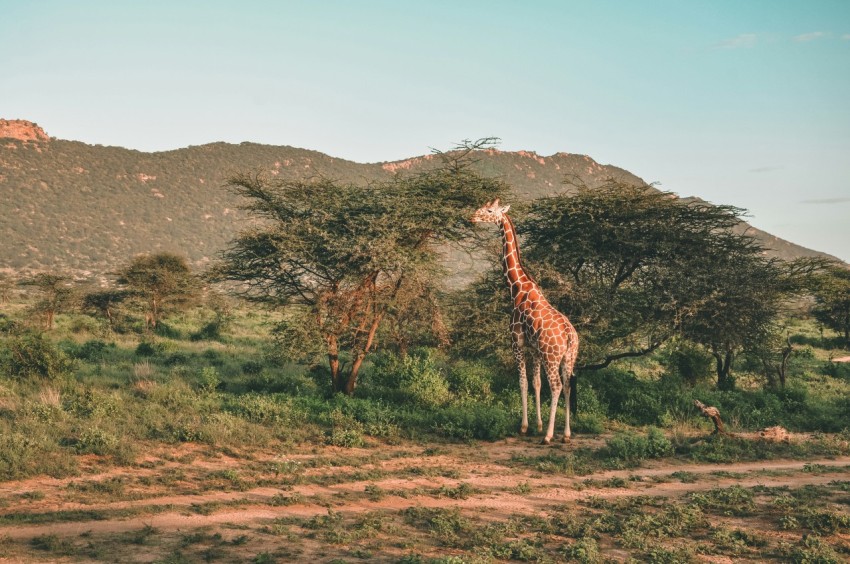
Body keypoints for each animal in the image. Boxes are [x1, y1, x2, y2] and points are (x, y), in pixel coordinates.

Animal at [471, 199, 579, 444]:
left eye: (489, 210)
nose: (472, 217)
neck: (516, 288)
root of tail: (570, 335)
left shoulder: (517, 343)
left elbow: (523, 382)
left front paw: (525, 427)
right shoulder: (534, 350)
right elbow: (536, 383)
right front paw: (537, 425)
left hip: (552, 357)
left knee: (557, 386)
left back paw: (549, 436)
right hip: (569, 357)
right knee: (568, 385)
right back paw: (566, 435)